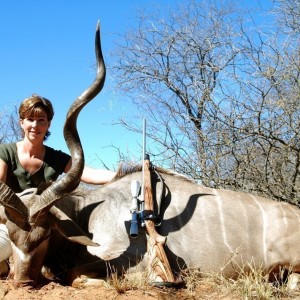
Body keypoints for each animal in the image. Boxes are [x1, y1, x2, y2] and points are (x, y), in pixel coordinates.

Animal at [0, 20, 300, 288]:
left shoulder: (130, 261)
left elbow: (78, 276)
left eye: (45, 235)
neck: (86, 213)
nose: (23, 282)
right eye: (12, 236)